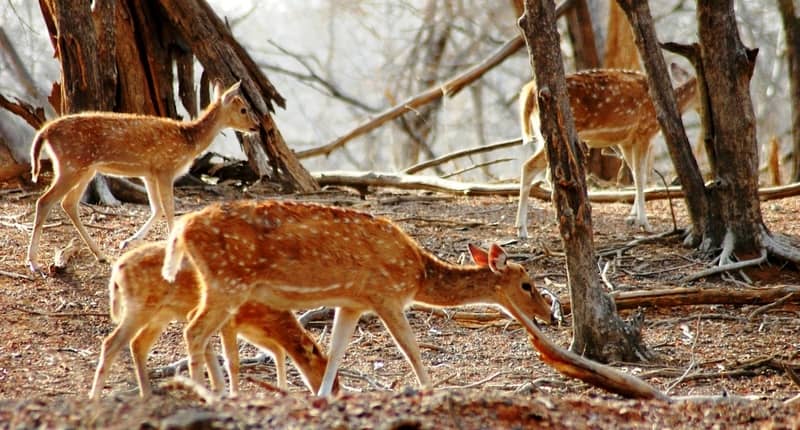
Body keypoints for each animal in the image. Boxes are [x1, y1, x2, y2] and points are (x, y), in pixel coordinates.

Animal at [25, 80, 260, 272]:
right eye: (243, 109)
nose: (257, 126)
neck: (188, 141)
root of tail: (44, 131)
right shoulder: (166, 168)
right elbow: (169, 209)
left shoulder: (149, 172)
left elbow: (156, 209)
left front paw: (128, 242)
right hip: (71, 166)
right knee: (44, 201)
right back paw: (34, 263)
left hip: (84, 169)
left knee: (68, 203)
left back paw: (101, 255)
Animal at [90, 242, 334, 400]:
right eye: (324, 369)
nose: (335, 392)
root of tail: (116, 271)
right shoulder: (228, 321)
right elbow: (231, 360)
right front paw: (230, 393)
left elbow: (274, 350)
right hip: (139, 308)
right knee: (111, 342)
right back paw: (95, 396)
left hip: (161, 314)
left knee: (138, 343)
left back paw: (147, 394)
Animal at [159, 201, 552, 396]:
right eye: (527, 284)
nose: (549, 314)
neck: (418, 274)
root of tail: (183, 229)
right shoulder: (385, 295)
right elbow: (411, 348)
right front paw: (431, 390)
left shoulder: (352, 303)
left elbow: (334, 352)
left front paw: (323, 396)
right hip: (228, 280)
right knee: (194, 329)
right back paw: (202, 390)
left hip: (219, 283)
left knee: (199, 329)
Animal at [516, 67, 696, 239]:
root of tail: (529, 91)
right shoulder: (644, 131)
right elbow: (640, 177)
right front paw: (644, 223)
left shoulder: (625, 141)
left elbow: (637, 174)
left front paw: (632, 218)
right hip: (555, 133)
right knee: (528, 166)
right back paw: (522, 229)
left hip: (543, 138)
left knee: (542, 170)